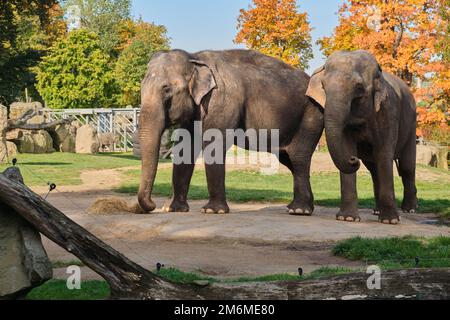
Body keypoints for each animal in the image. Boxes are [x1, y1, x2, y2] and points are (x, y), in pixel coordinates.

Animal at [137, 49, 324, 215]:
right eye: (141, 88)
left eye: (166, 89)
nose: (153, 205)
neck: (195, 57)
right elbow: (185, 148)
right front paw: (173, 209)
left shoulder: (221, 100)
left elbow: (213, 145)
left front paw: (212, 211)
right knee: (289, 159)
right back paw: (301, 207)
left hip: (311, 115)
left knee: (298, 157)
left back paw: (299, 210)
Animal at [306, 50, 418, 225]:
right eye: (323, 86)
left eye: (359, 88)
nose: (353, 159)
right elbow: (347, 147)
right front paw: (347, 218)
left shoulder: (388, 112)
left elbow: (384, 155)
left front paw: (390, 221)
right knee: (374, 170)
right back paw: (377, 211)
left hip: (411, 125)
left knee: (407, 166)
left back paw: (410, 209)